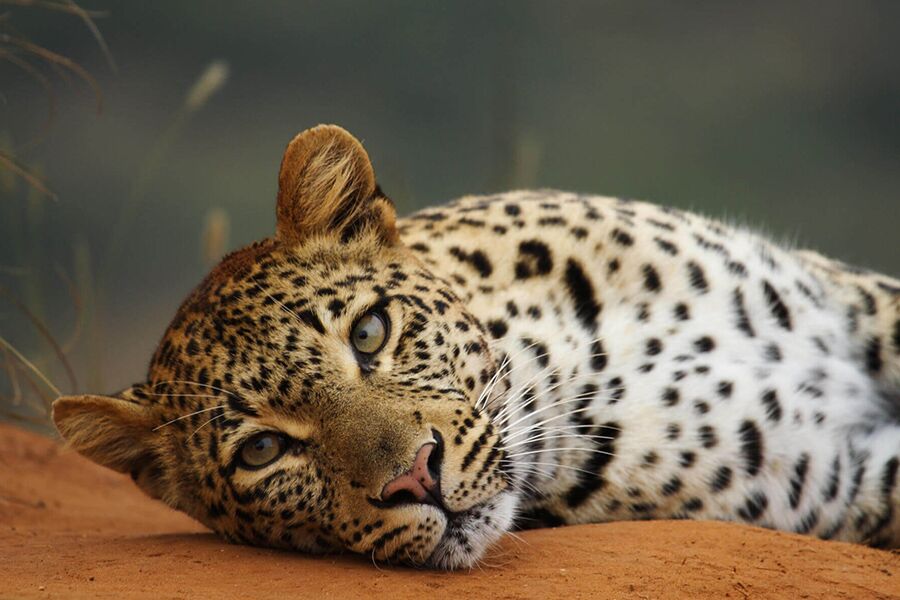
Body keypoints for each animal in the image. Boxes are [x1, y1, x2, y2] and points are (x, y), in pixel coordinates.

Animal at [52, 124, 900, 569]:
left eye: (370, 332)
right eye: (262, 452)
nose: (415, 479)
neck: (565, 360)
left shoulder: (852, 301)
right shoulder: (830, 480)